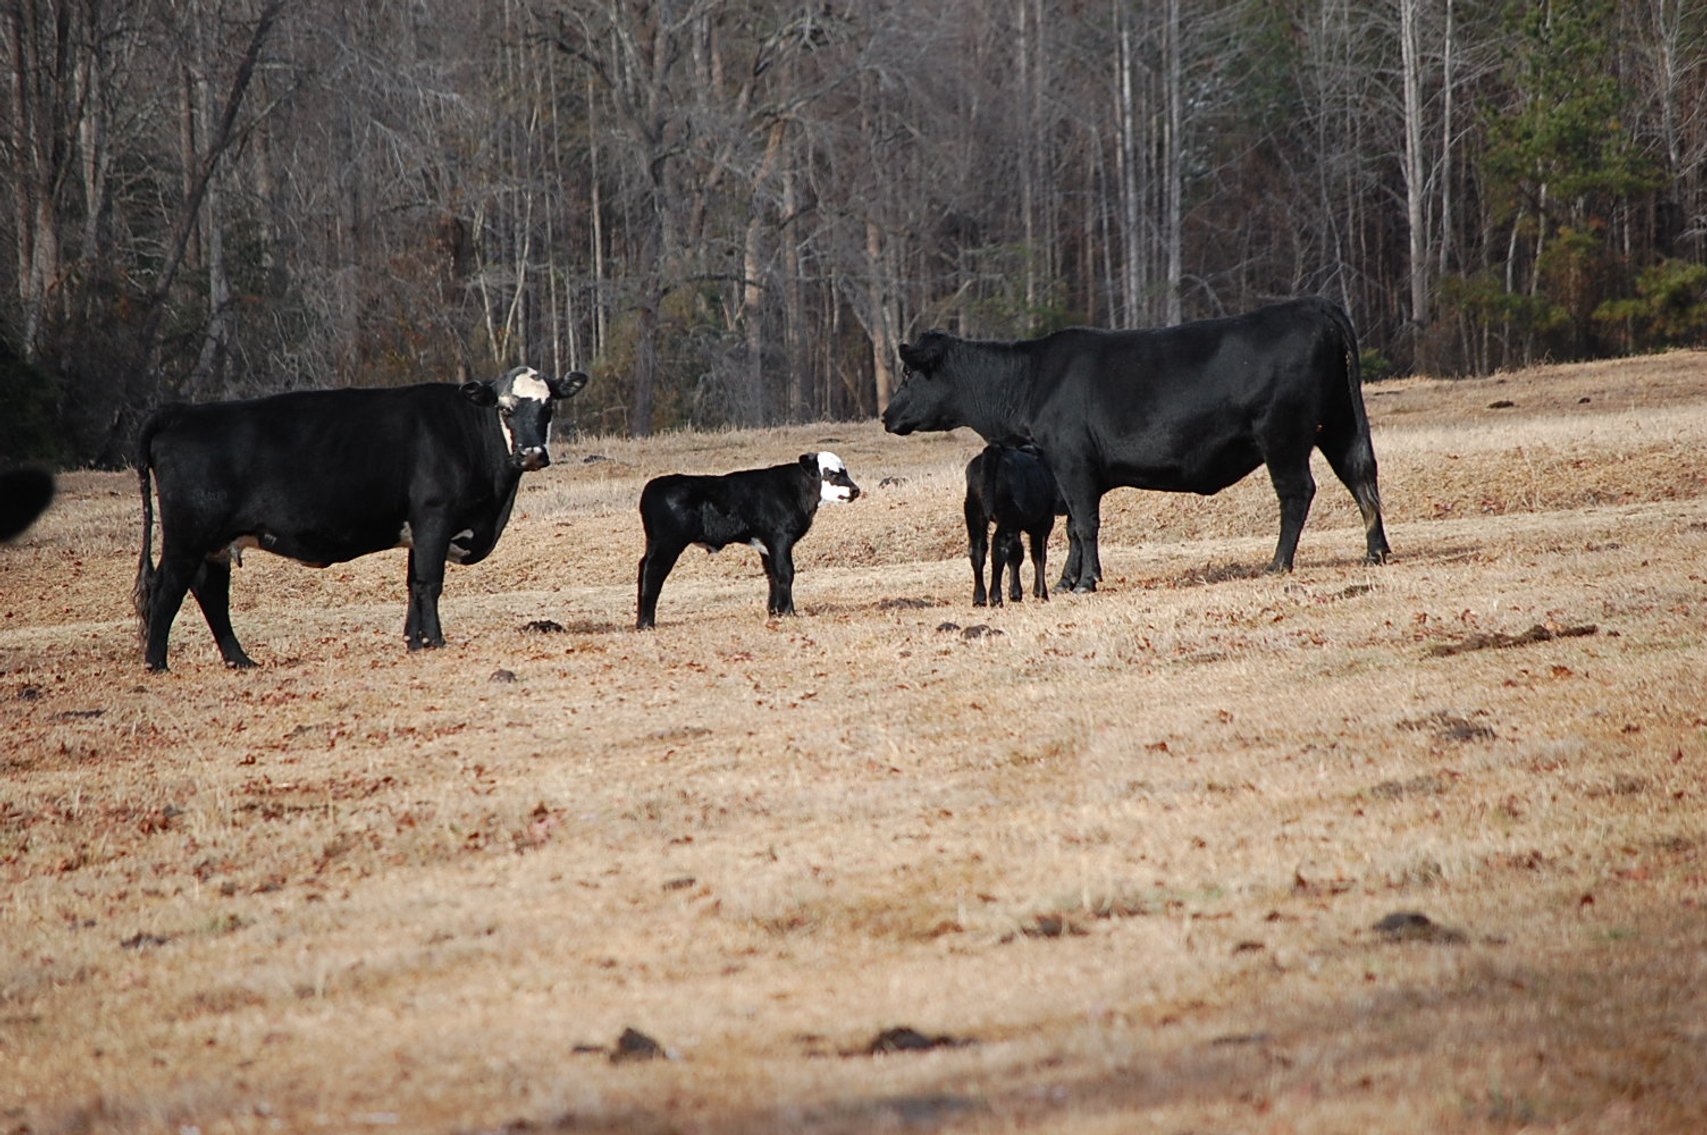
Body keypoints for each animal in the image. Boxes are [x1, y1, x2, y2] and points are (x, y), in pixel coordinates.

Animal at [134, 366, 589, 671]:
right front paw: (436, 641)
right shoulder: (434, 517)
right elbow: (430, 582)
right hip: (187, 536)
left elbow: (413, 584)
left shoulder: (417, 529)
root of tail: (180, 412)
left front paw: (414, 642)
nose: (531, 454)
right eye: (506, 408)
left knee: (210, 593)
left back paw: (240, 660)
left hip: (214, 544)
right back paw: (157, 663)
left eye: (548, 406)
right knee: (167, 587)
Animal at [636, 452, 860, 630]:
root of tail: (652, 487)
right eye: (832, 473)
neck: (794, 491)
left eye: (845, 471)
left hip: (655, 543)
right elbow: (786, 573)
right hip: (667, 544)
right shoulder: (780, 538)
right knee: (653, 572)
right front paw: (789, 612)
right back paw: (646, 623)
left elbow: (773, 575)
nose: (856, 490)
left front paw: (775, 612)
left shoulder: (766, 545)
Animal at [964, 442, 1065, 606]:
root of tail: (994, 449)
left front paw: (1015, 594)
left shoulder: (1017, 526)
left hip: (975, 513)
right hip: (1007, 518)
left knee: (978, 550)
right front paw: (1041, 593)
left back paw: (979, 599)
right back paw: (995, 598)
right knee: (998, 550)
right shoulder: (1043, 523)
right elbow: (1038, 555)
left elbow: (1016, 556)